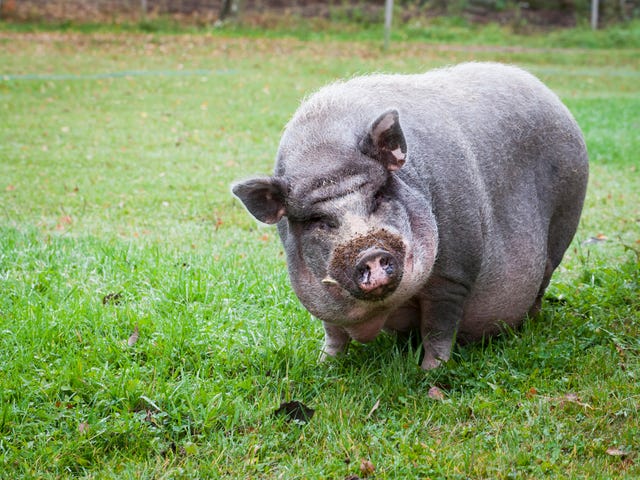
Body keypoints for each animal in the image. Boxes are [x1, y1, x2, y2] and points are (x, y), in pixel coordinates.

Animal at [232, 62, 588, 370]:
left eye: (379, 195)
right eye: (318, 220)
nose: (370, 253)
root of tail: (549, 93)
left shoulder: (454, 274)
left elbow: (438, 328)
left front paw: (431, 372)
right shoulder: (320, 300)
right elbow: (333, 333)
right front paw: (324, 364)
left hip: (564, 222)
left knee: (543, 280)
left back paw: (527, 325)